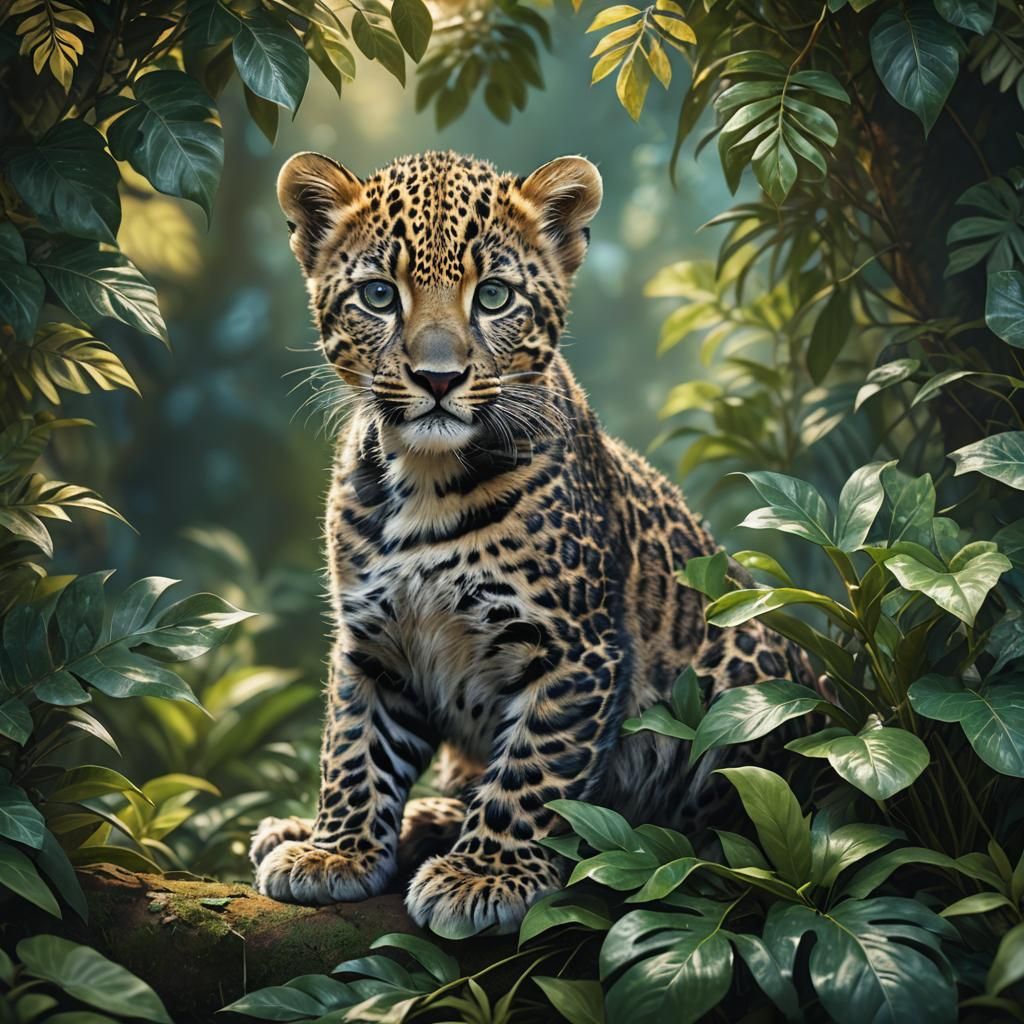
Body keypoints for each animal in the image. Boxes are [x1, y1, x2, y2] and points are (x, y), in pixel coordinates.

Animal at [249, 149, 816, 936]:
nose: (438, 378)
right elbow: (355, 746)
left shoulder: (571, 648)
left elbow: (531, 770)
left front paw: (484, 876)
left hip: (749, 681)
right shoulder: (374, 641)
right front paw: (336, 851)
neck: (424, 478)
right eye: (378, 295)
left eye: (492, 297)